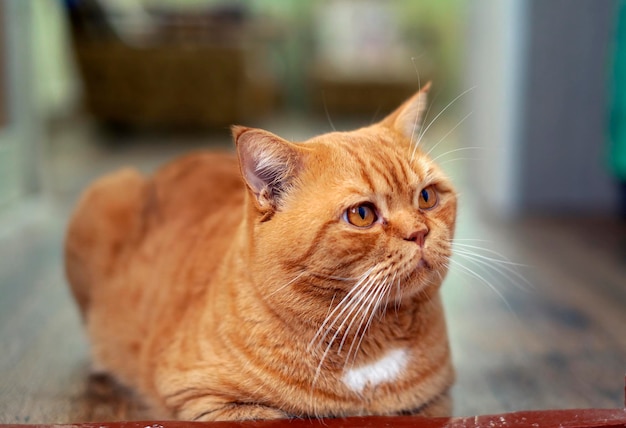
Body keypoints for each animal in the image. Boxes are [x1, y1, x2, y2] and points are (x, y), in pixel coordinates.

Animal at [66, 87, 456, 422]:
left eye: (427, 197)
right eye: (362, 215)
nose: (419, 233)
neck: (369, 343)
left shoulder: (435, 399)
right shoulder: (204, 400)